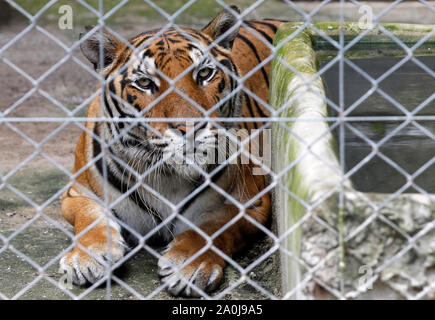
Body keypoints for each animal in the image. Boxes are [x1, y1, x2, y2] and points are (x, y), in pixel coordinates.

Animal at [60, 5, 286, 296]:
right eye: (145, 83)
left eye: (204, 74)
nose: (190, 128)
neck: (169, 176)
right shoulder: (76, 193)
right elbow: (88, 217)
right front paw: (88, 257)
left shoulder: (251, 202)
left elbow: (213, 228)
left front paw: (189, 266)